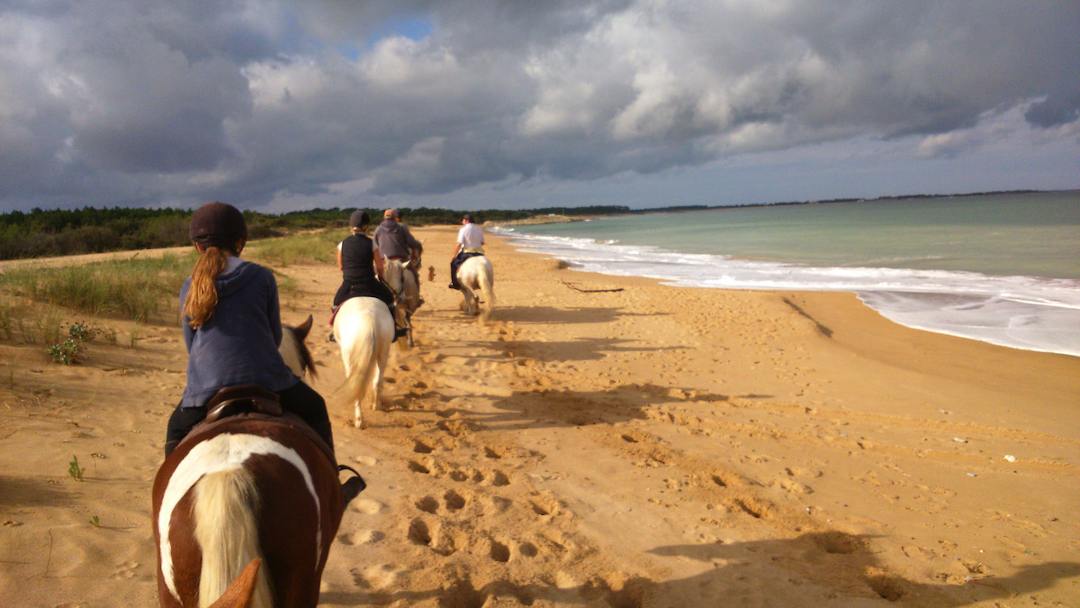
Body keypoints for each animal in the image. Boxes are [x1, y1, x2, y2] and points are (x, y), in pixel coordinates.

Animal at [332, 295, 397, 427]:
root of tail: (370, 320)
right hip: (384, 352)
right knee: (377, 381)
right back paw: (376, 406)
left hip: (348, 355)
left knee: (355, 382)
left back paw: (358, 421)